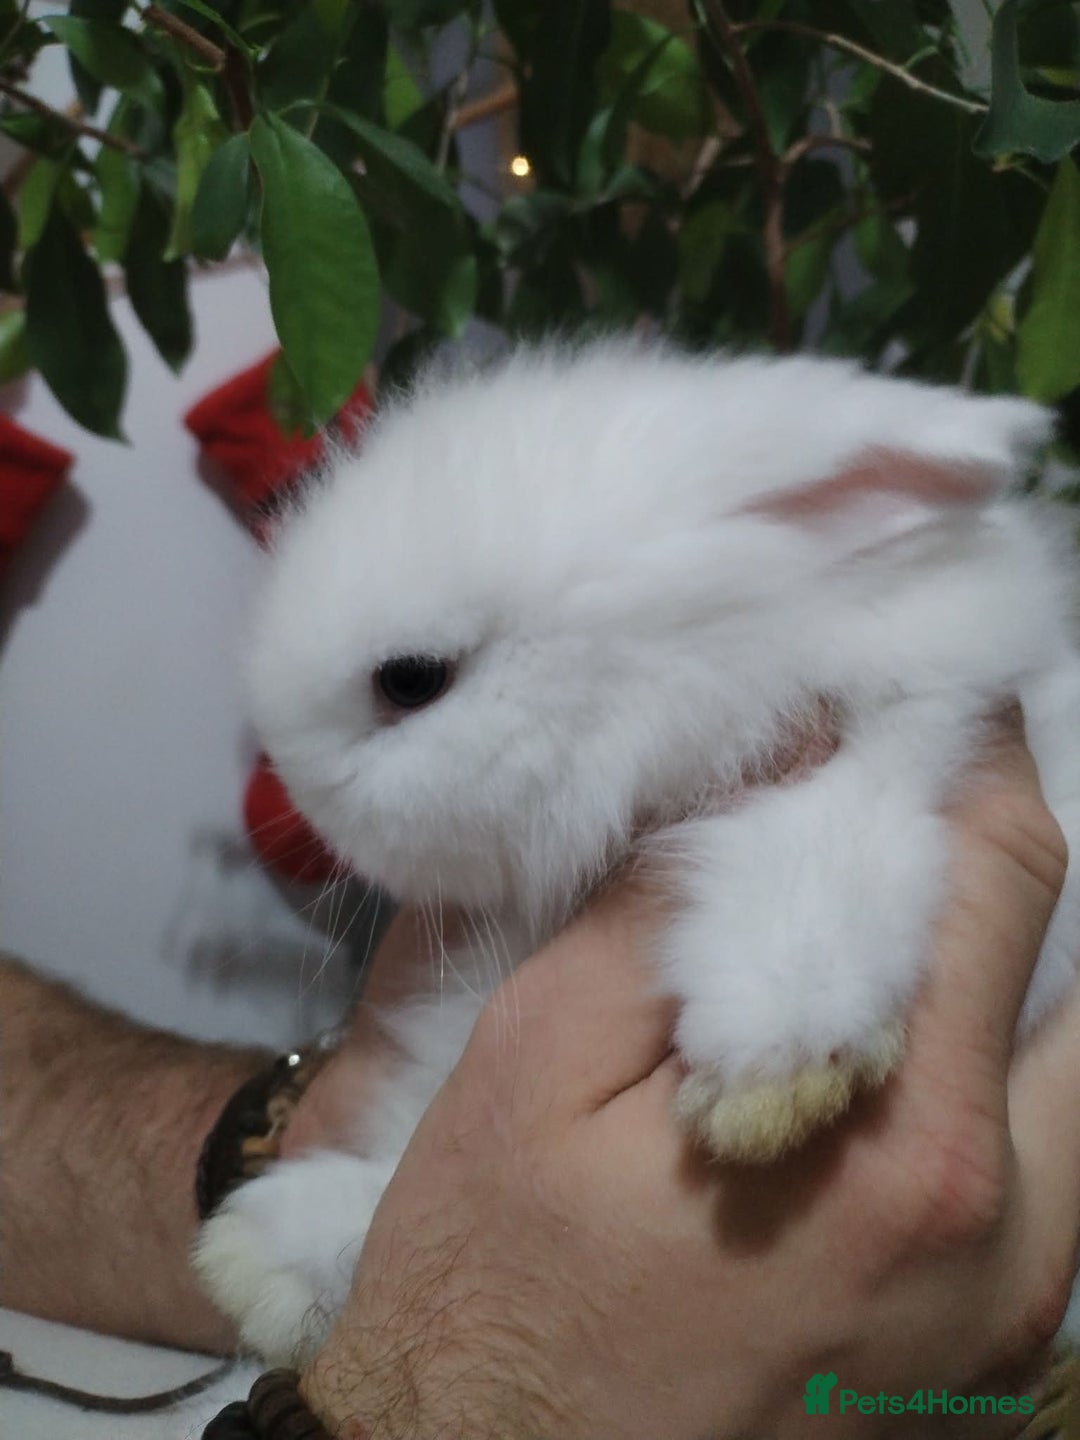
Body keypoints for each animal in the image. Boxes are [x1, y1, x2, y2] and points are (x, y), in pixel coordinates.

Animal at [194, 339, 1080, 1366]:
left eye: (411, 679)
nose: (293, 784)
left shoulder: (905, 746)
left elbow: (813, 858)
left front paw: (772, 1076)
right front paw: (259, 1265)